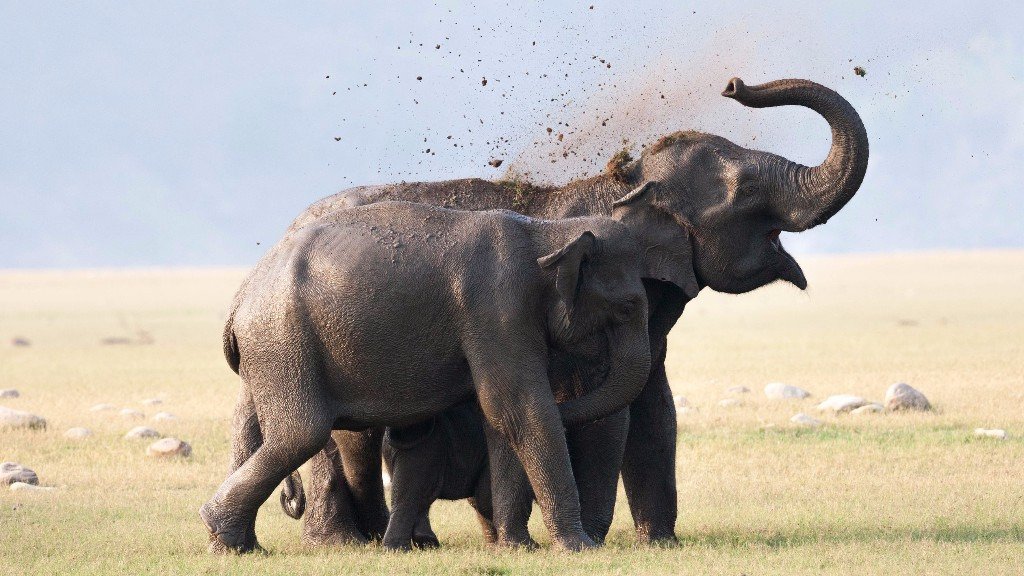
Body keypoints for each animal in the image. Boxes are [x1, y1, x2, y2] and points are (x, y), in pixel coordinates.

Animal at [202, 196, 675, 553]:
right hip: (282, 342)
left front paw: (519, 548)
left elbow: (500, 418)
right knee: (301, 433)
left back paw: (236, 545)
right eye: (627, 307)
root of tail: (238, 299)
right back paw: (224, 534)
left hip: (272, 352)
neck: (548, 233)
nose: (588, 542)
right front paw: (577, 549)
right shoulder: (497, 309)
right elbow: (520, 408)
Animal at [282, 76, 872, 541]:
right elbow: (603, 407)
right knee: (346, 438)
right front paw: (593, 537)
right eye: (747, 189)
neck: (623, 183)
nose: (732, 85)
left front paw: (659, 542)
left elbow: (656, 408)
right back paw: (342, 543)